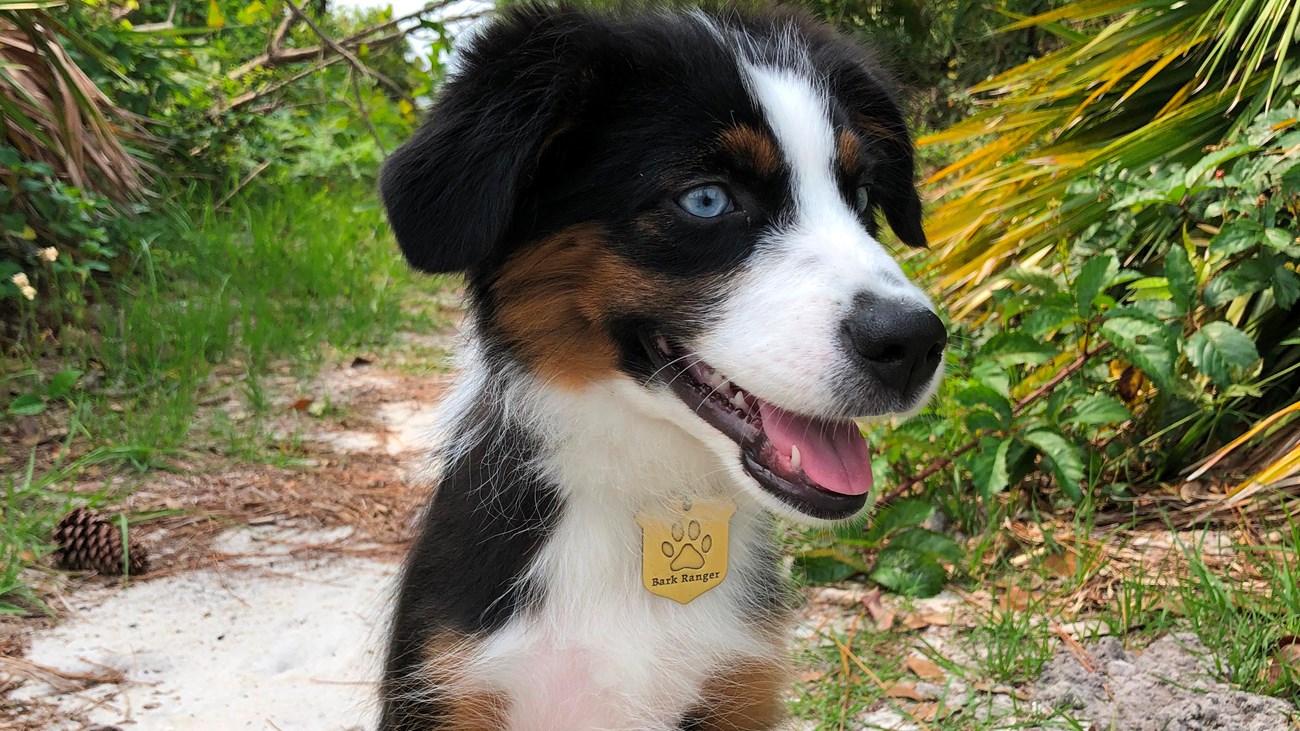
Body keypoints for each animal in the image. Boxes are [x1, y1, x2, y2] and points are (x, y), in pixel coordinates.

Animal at [377, 7, 946, 728]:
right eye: (706, 200)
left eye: (863, 195)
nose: (916, 344)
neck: (650, 492)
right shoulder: (450, 680)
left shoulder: (737, 687)